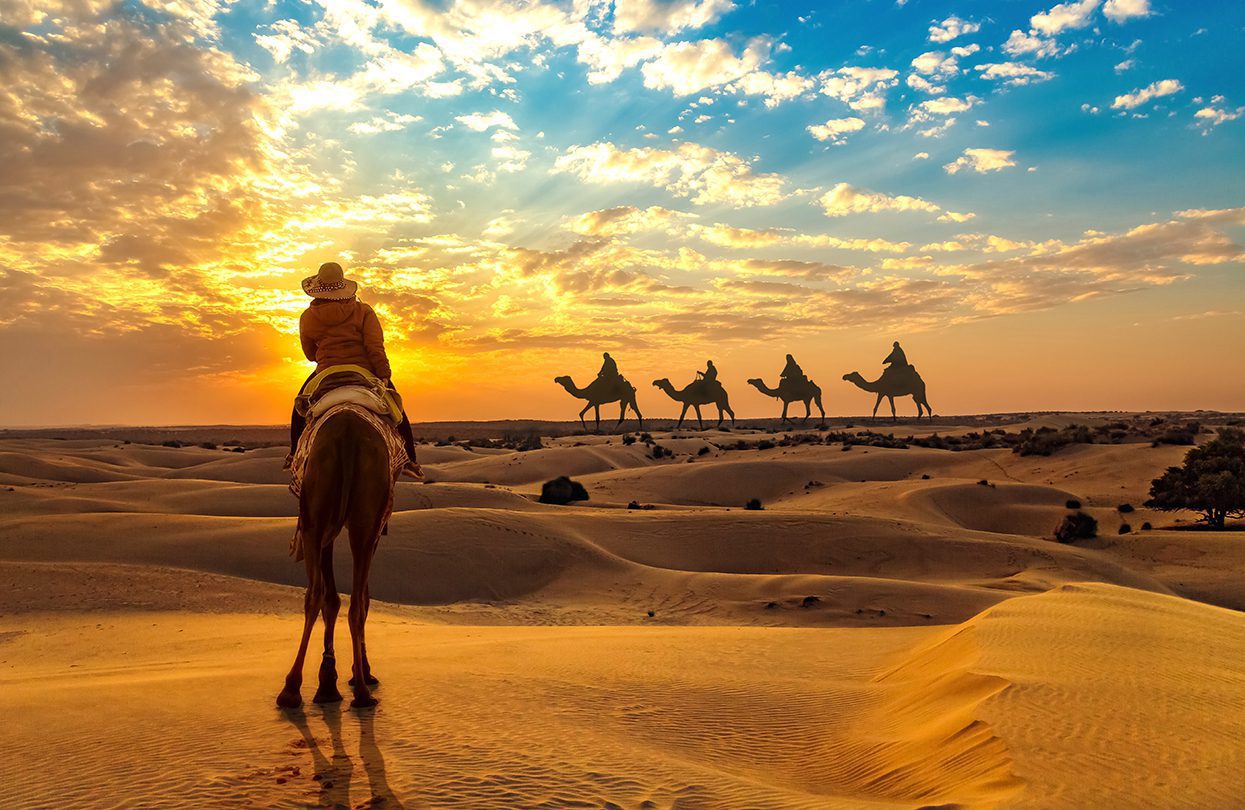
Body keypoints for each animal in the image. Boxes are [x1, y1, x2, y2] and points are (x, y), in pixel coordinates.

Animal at [277, 413, 398, 711]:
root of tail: (348, 434)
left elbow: (334, 599)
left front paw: (329, 681)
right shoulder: (370, 531)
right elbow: (355, 598)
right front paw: (347, 675)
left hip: (317, 519)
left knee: (317, 595)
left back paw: (292, 689)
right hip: (356, 521)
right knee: (349, 601)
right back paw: (361, 691)